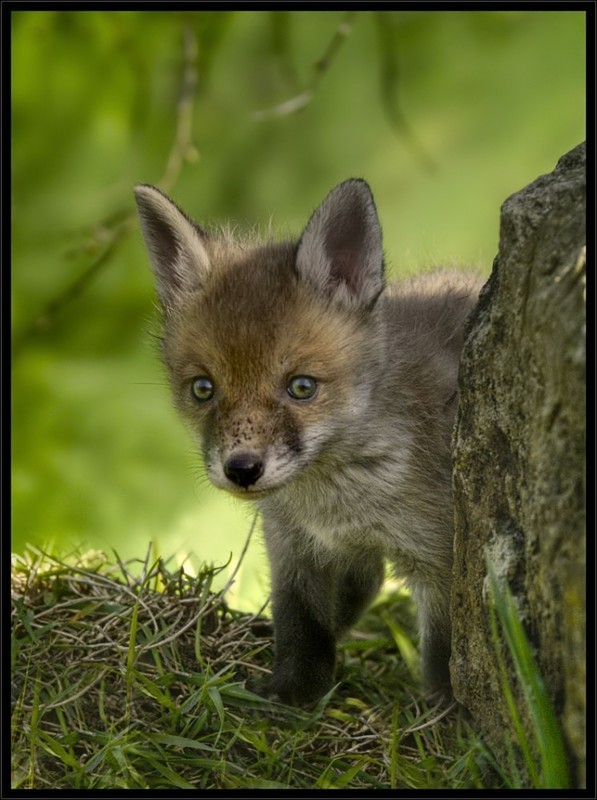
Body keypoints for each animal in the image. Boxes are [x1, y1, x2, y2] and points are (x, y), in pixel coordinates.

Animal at [134, 179, 483, 705]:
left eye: (301, 387)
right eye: (203, 389)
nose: (242, 469)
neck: (334, 498)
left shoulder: (442, 557)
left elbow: (445, 654)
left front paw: (447, 714)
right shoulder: (293, 545)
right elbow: (303, 625)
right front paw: (293, 694)